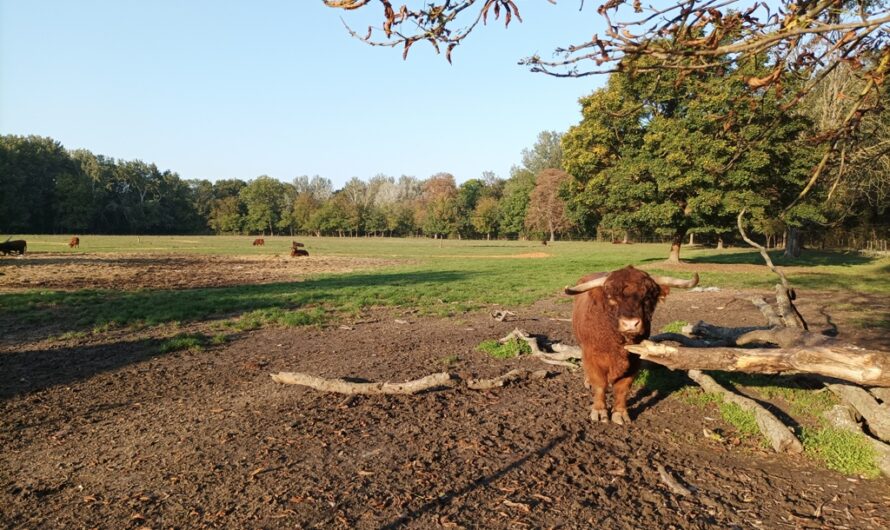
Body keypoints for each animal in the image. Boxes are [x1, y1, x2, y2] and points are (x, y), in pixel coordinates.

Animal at [564, 266, 696, 422]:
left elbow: (623, 387)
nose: (630, 324)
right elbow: (600, 384)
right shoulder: (592, 356)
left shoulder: (634, 359)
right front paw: (599, 411)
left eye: (647, 297)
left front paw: (620, 413)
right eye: (611, 297)